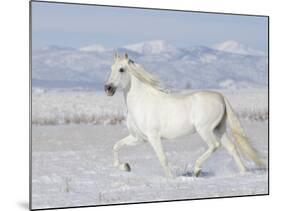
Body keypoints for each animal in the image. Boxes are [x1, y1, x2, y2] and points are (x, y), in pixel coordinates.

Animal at [103, 52, 262, 177]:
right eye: (110, 68)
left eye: (121, 69)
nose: (107, 88)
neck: (142, 102)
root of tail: (220, 96)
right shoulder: (139, 138)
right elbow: (116, 146)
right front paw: (125, 166)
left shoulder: (153, 137)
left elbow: (162, 158)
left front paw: (170, 179)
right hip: (219, 129)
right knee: (232, 149)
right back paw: (243, 172)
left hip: (205, 130)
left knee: (214, 145)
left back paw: (197, 169)